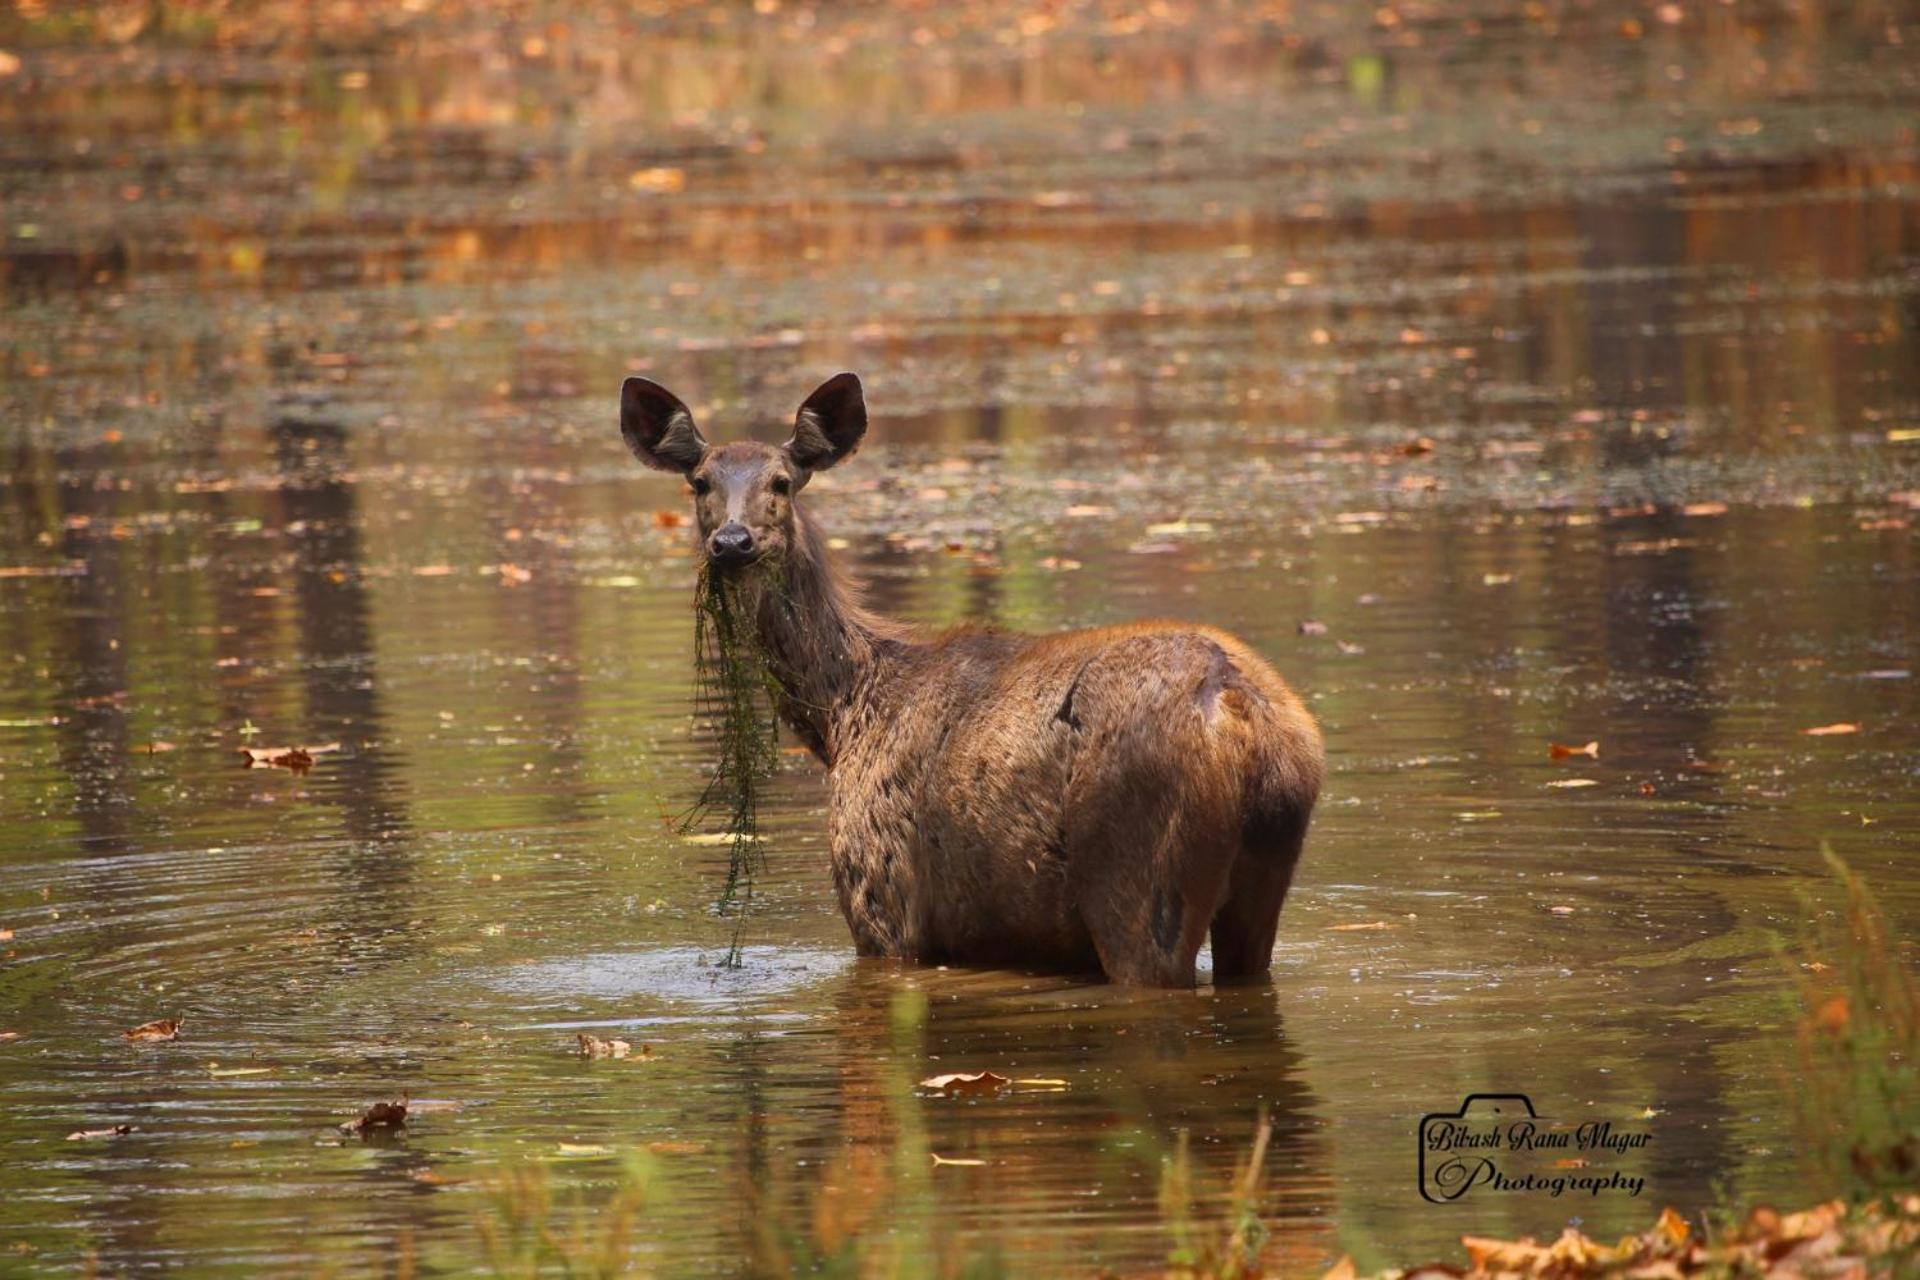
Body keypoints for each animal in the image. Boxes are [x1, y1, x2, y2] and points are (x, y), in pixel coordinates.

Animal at [622, 370, 1328, 990]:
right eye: (699, 482)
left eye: (782, 482)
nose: (733, 542)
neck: (842, 715)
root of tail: (1241, 711)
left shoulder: (882, 905)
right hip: (1266, 871)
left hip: (1138, 873)